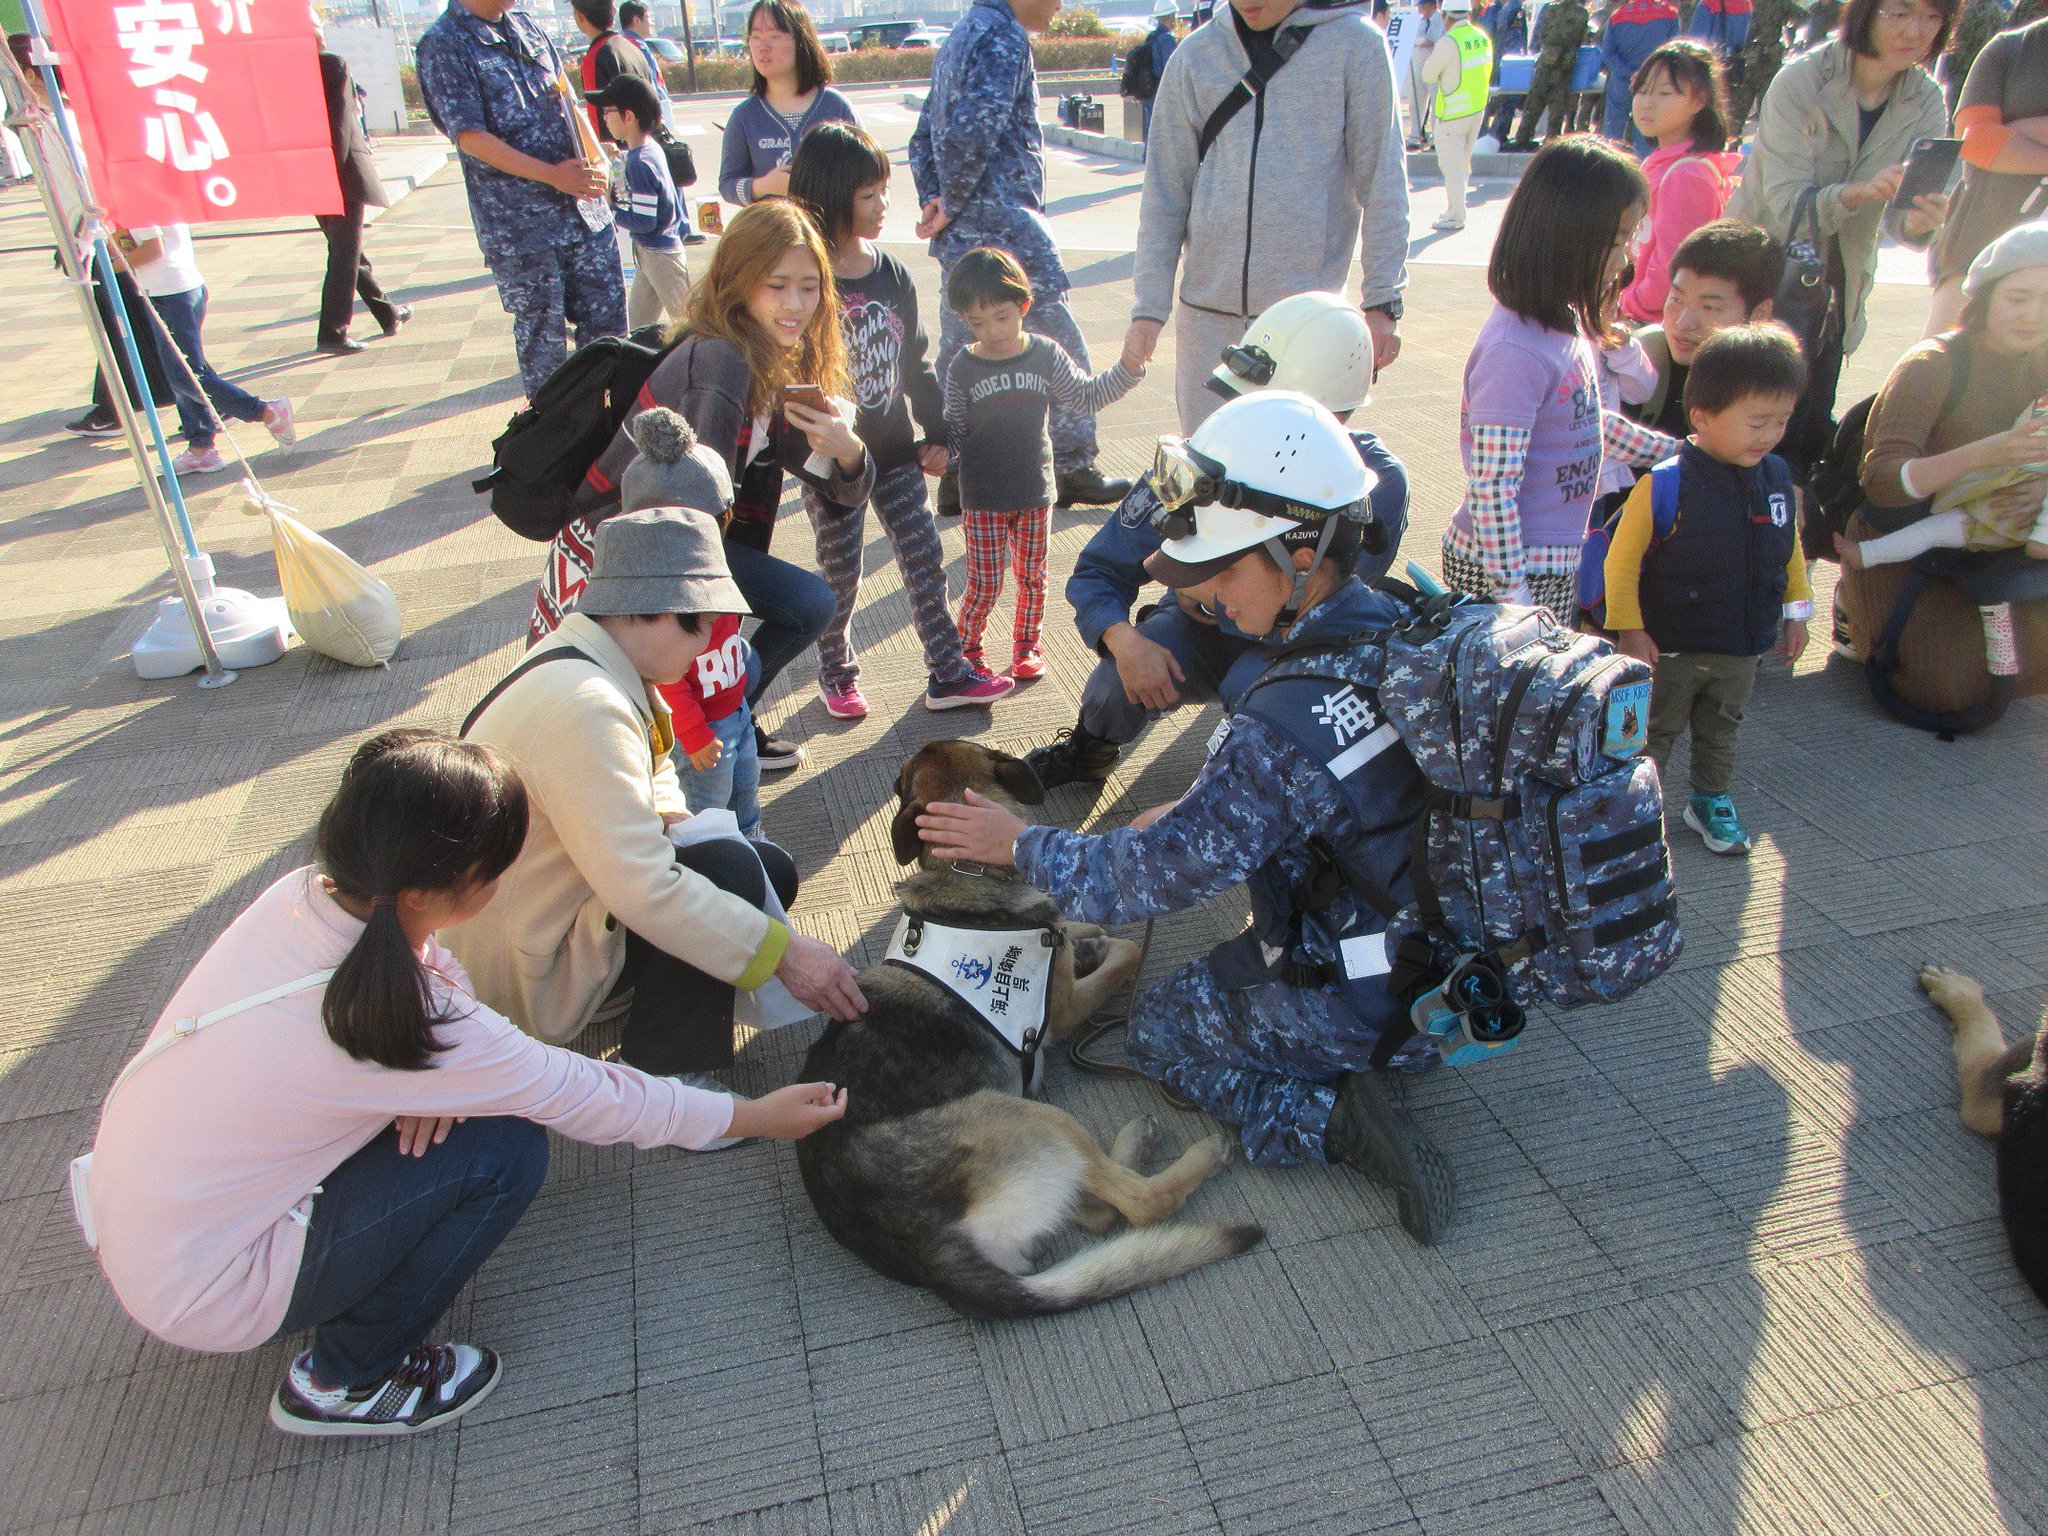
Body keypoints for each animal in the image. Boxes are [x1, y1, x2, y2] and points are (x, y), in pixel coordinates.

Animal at [794, 741, 1261, 1318]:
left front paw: (1085, 935)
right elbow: (1126, 951)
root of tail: (929, 1255)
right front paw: (1099, 942)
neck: (966, 871)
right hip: (1032, 1117)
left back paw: (1134, 1142)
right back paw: (1196, 1154)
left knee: (1096, 1211)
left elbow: (1074, 922)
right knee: (1136, 1204)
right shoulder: (1065, 1008)